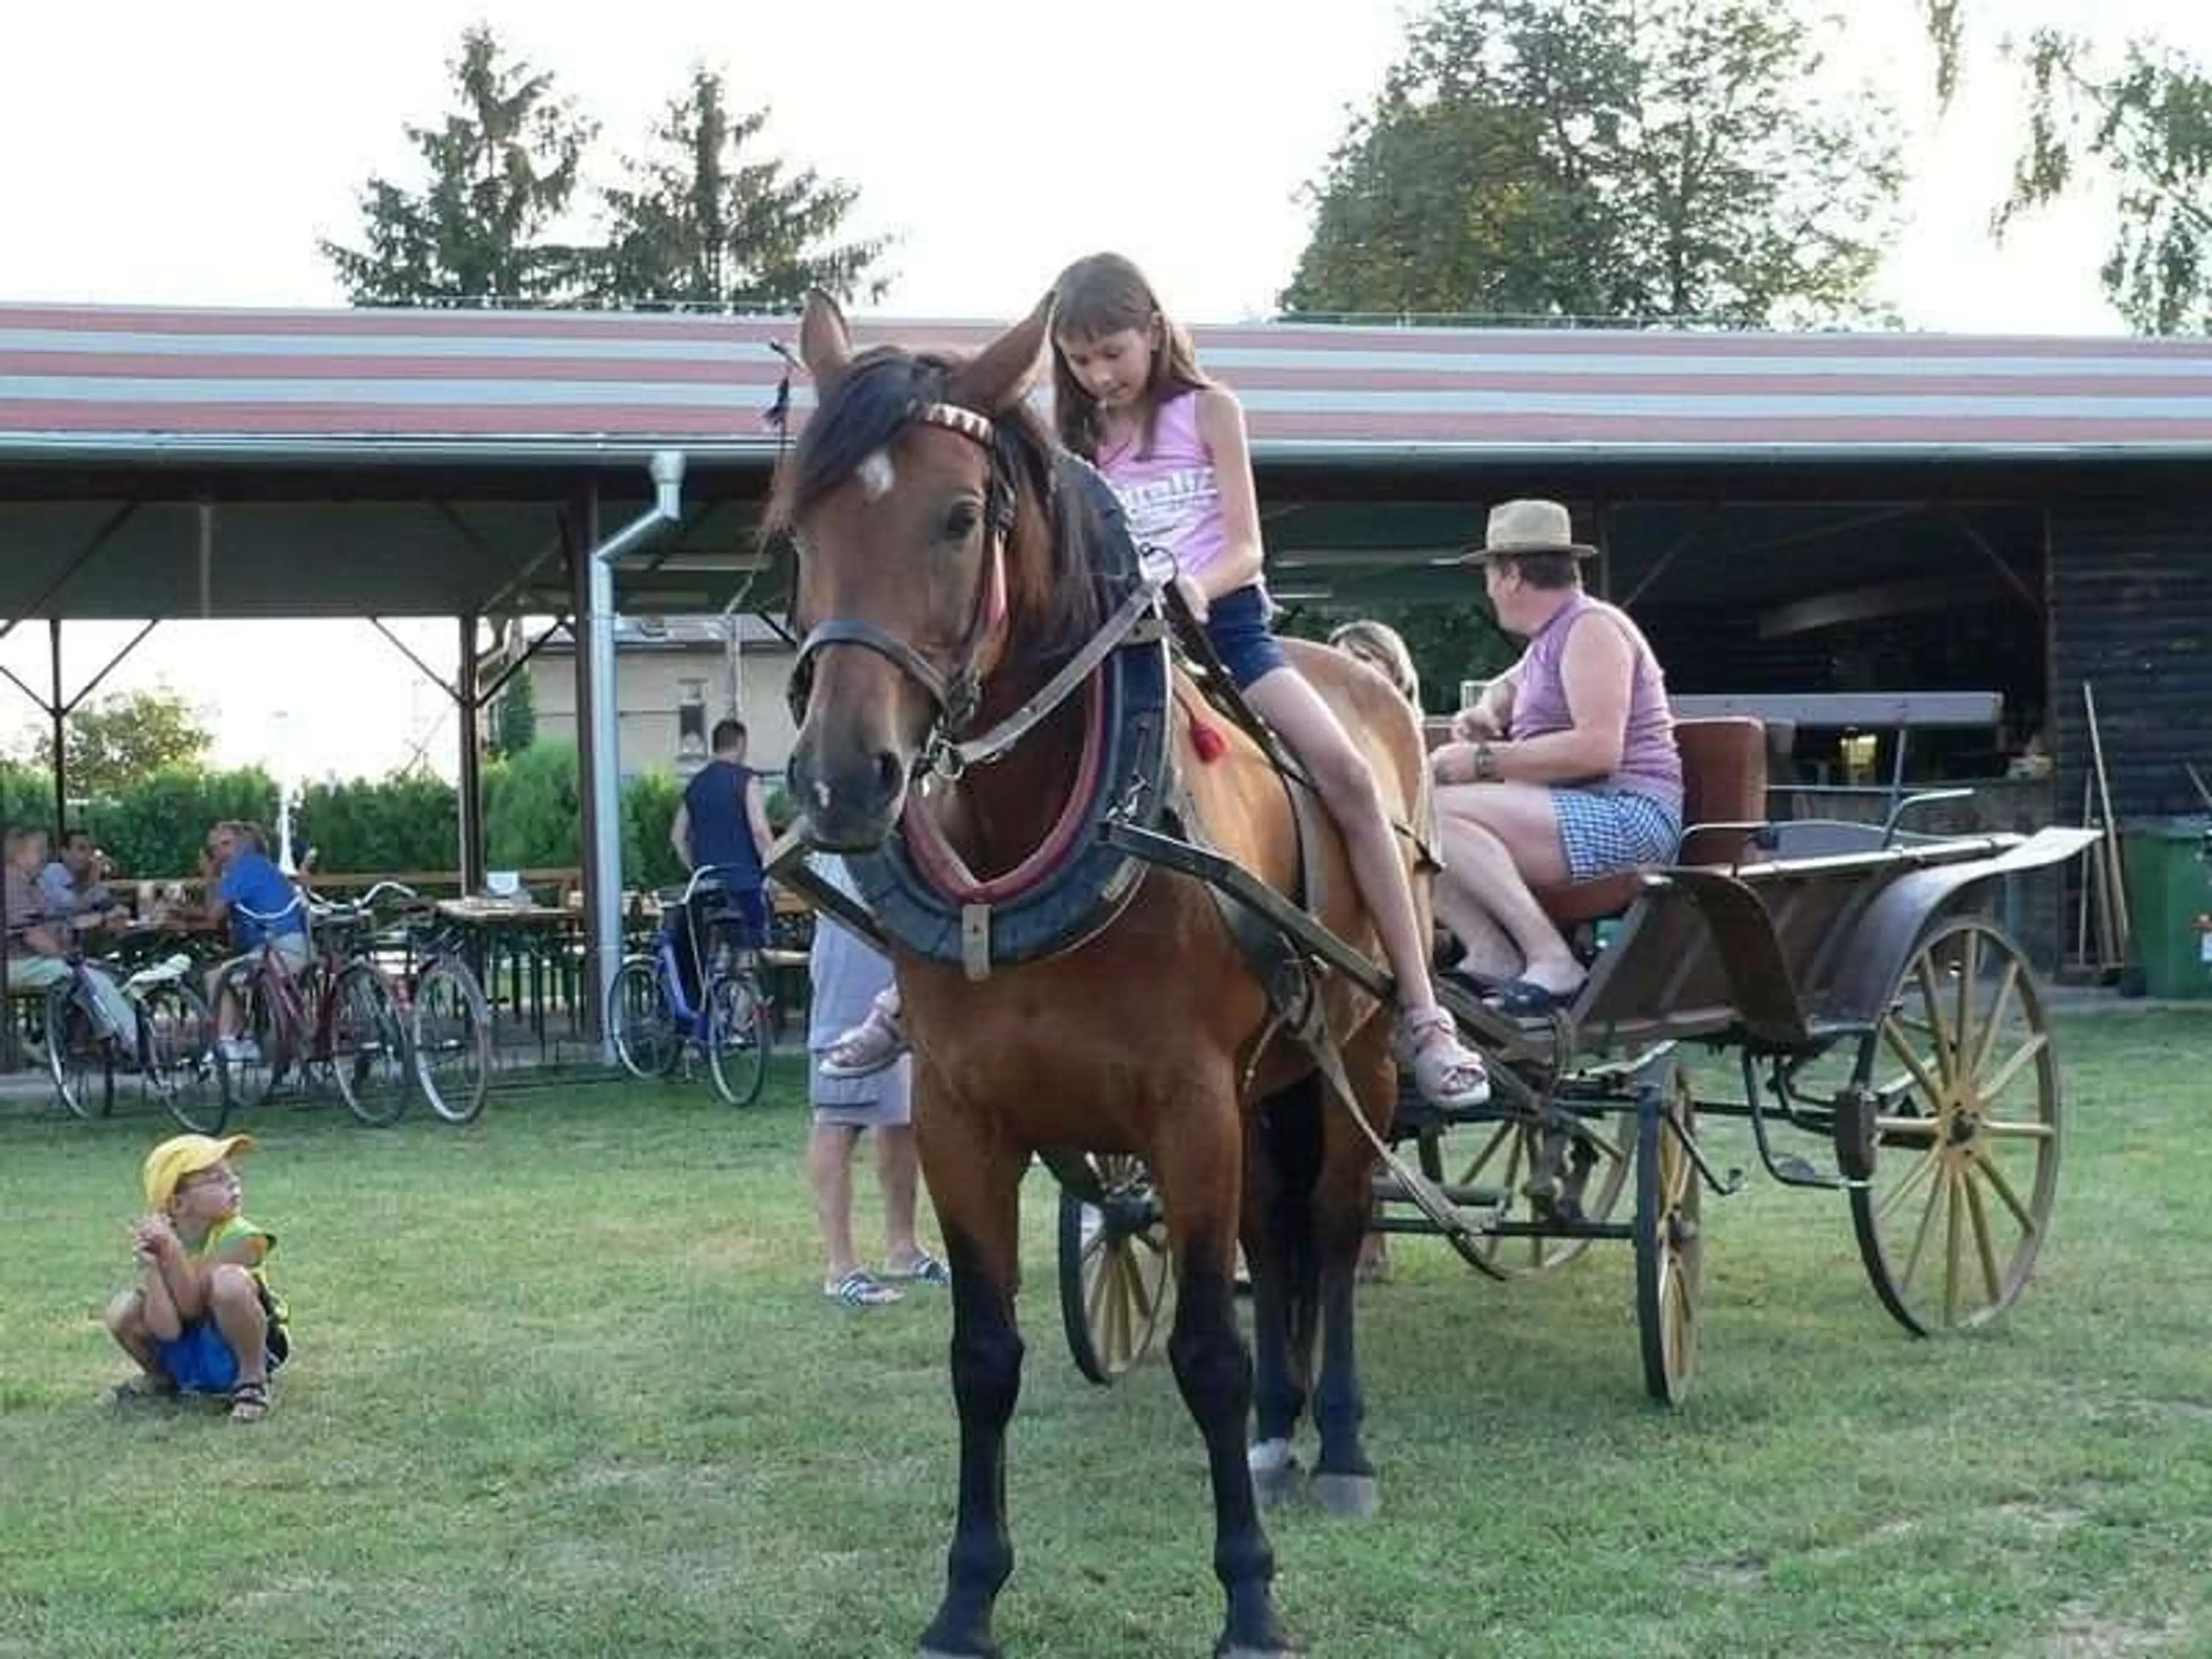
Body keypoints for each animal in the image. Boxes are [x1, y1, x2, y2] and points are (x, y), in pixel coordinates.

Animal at [778, 296, 1433, 1659]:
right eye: (800, 527)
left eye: (958, 517)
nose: (842, 777)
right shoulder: (963, 1114)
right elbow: (984, 1356)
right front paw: (965, 1599)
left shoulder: (1186, 1107)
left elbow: (1206, 1352)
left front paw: (1250, 1597)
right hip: (1264, 1087)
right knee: (1276, 1238)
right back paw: (1283, 1429)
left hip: (1357, 1056)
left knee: (1334, 1230)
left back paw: (1339, 1441)